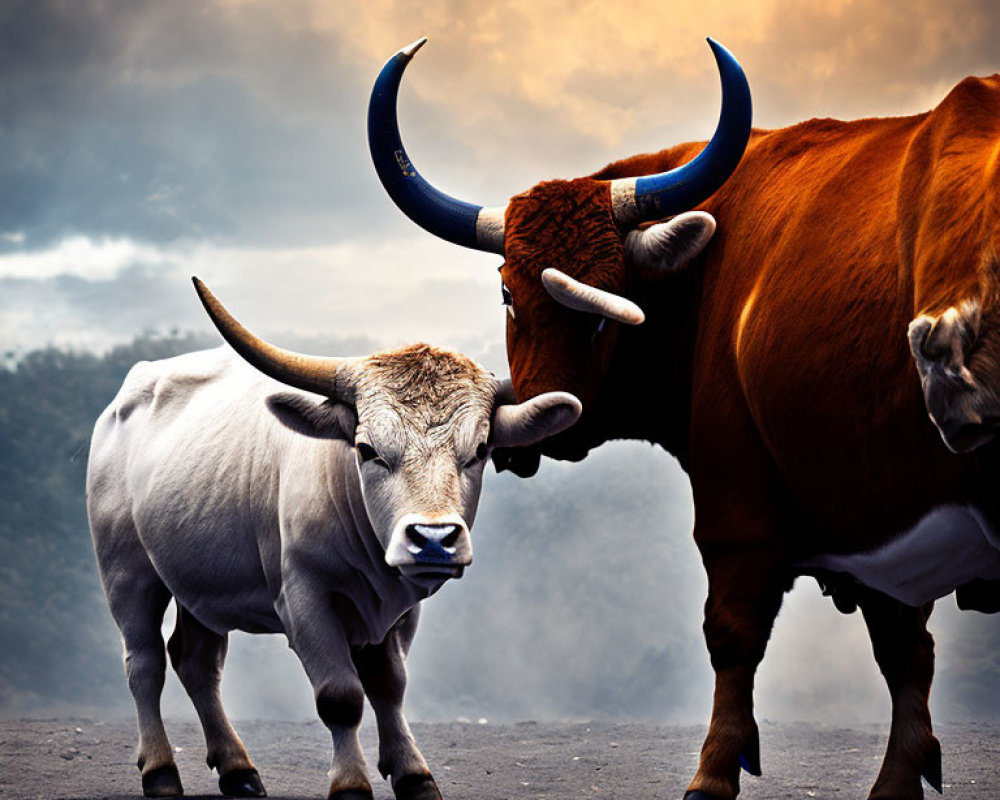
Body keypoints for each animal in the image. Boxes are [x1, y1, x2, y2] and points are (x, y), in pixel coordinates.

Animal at [91, 280, 584, 800]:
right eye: (367, 449)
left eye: (481, 449)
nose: (433, 539)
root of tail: (126, 399)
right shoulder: (304, 599)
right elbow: (341, 696)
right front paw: (351, 784)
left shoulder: (401, 608)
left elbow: (389, 685)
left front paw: (414, 774)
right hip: (127, 572)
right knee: (144, 663)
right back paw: (161, 771)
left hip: (200, 584)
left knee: (197, 663)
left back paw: (238, 769)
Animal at [370, 39, 1000, 800]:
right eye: (508, 293)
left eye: (609, 299)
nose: (540, 422)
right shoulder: (877, 522)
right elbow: (905, 651)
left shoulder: (740, 508)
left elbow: (733, 634)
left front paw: (712, 775)